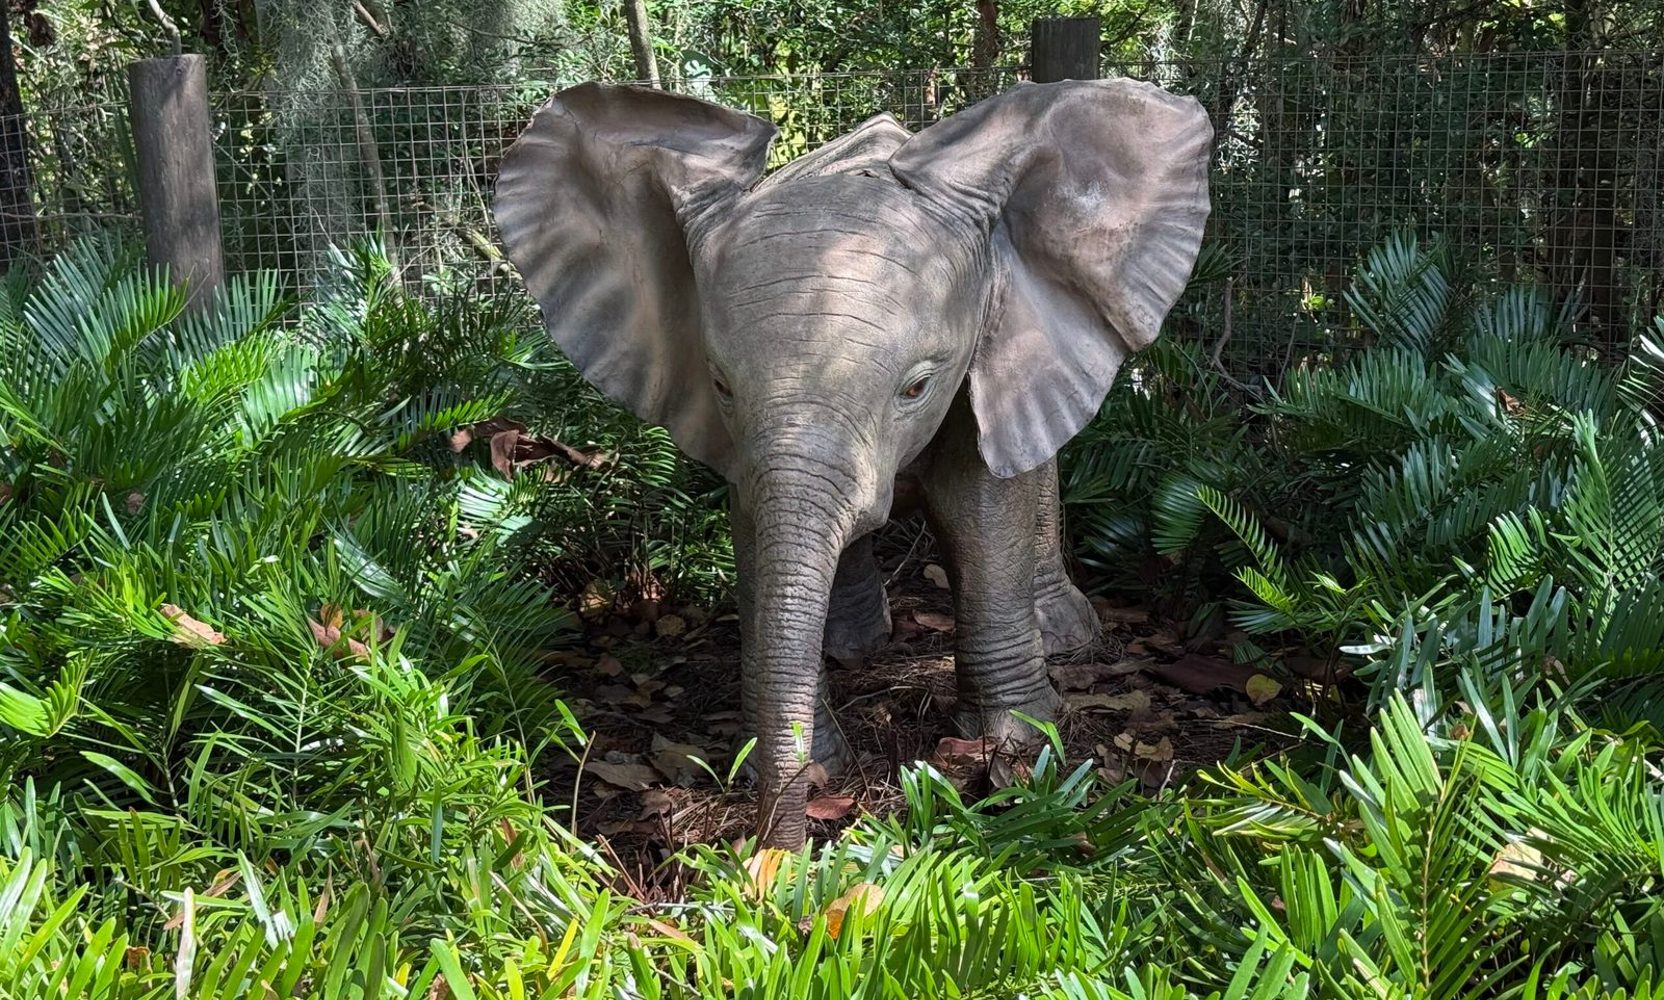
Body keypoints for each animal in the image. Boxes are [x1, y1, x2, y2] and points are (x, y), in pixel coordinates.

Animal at [494, 78, 1212, 848]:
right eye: (720, 385)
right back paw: (855, 646)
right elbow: (756, 530)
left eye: (916, 387)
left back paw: (1063, 634)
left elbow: (980, 507)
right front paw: (811, 762)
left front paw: (1017, 748)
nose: (778, 859)